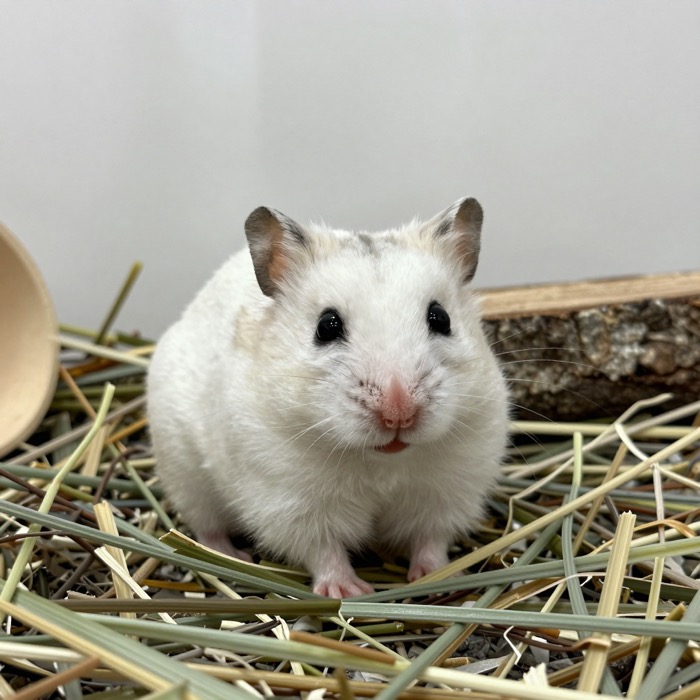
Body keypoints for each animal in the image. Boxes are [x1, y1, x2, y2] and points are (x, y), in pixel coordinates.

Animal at [147, 197, 509, 598]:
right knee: (205, 527)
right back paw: (230, 555)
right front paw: (349, 591)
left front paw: (439, 579)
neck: (381, 461)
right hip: (186, 476)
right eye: (327, 326)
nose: (398, 414)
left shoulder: (449, 489)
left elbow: (431, 538)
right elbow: (324, 549)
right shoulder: (292, 502)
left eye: (441, 318)